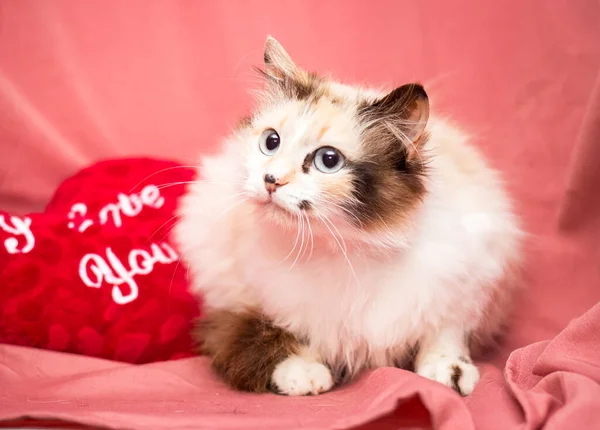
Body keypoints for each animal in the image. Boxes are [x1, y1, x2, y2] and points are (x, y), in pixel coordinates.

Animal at [173, 36, 520, 396]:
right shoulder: (260, 297)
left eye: (328, 160)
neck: (351, 246)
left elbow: (444, 333)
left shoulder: (465, 280)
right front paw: (302, 373)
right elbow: (283, 334)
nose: (271, 180)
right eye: (271, 142)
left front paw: (448, 371)